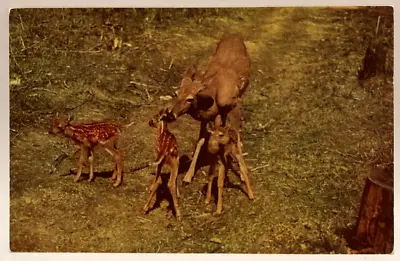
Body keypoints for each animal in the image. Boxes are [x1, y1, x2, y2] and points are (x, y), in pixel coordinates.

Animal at [169, 33, 250, 182]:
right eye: (176, 94)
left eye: (190, 98)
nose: (171, 114)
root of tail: (235, 35)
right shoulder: (206, 118)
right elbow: (200, 141)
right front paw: (188, 175)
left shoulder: (233, 102)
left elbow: (236, 133)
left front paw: (242, 173)